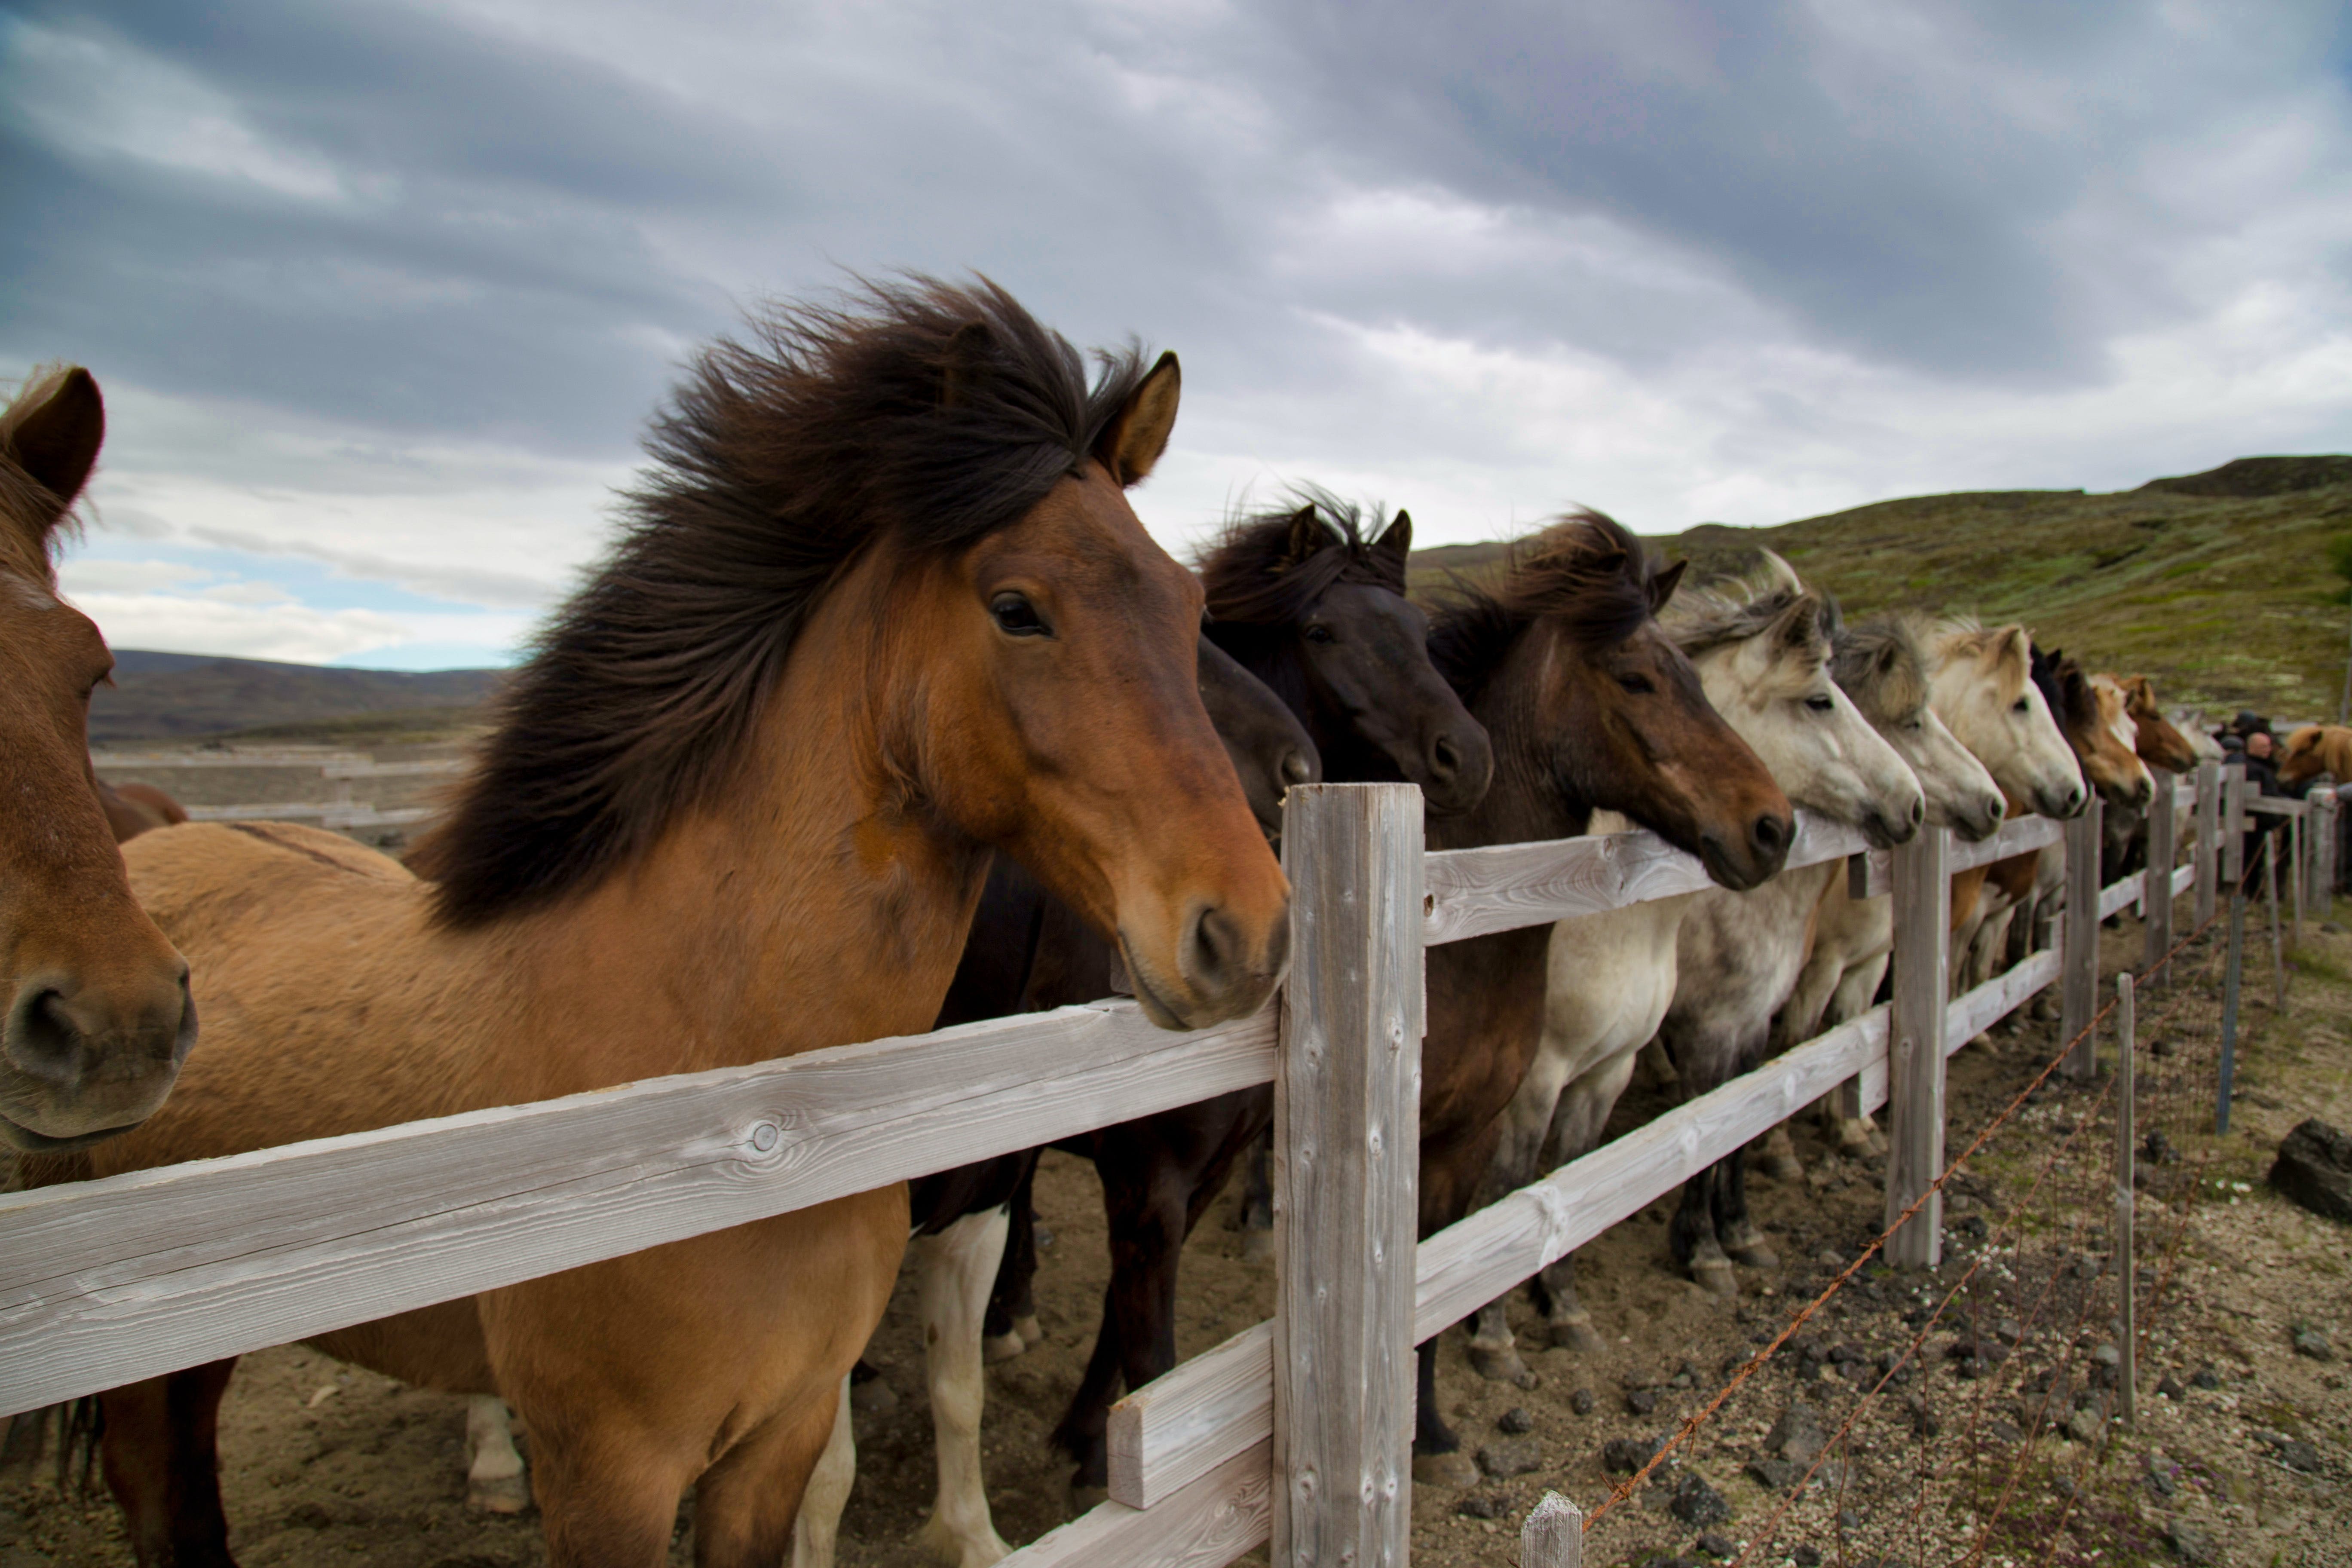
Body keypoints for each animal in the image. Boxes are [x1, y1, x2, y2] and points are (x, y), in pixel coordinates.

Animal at [46, 282, 1289, 1568]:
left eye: (1192, 607)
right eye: (1015, 608)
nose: (1244, 930)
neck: (732, 1118)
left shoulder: (777, 1433)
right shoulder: (616, 1477)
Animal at [1402, 517, 1787, 1485]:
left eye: (1698, 677)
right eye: (1637, 677)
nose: (1773, 827)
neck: (1445, 923)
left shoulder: (1462, 1139)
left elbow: (1436, 1281)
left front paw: (1432, 1438)